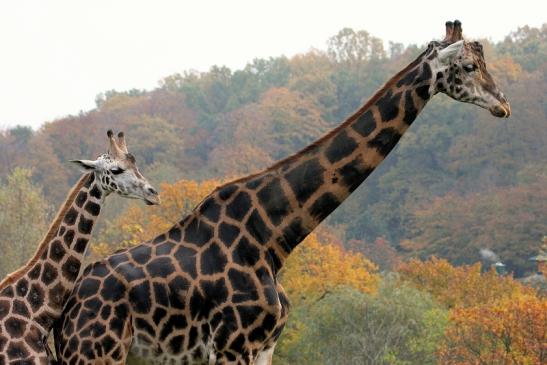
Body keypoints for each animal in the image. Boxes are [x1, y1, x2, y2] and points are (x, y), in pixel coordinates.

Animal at [53, 20, 512, 364]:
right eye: (468, 66)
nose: (503, 104)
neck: (275, 236)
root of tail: (62, 313)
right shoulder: (233, 344)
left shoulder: (263, 346)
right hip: (97, 351)